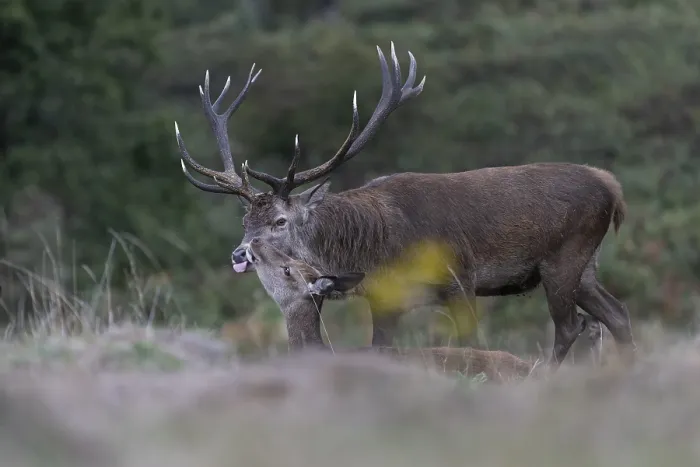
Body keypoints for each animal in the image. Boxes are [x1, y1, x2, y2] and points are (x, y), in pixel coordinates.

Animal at [173, 41, 637, 369]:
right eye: (246, 219)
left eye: (281, 221)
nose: (240, 253)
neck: (375, 248)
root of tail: (611, 186)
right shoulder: (385, 300)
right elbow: (380, 348)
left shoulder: (460, 279)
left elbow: (471, 342)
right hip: (586, 266)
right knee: (616, 314)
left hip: (564, 257)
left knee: (571, 326)